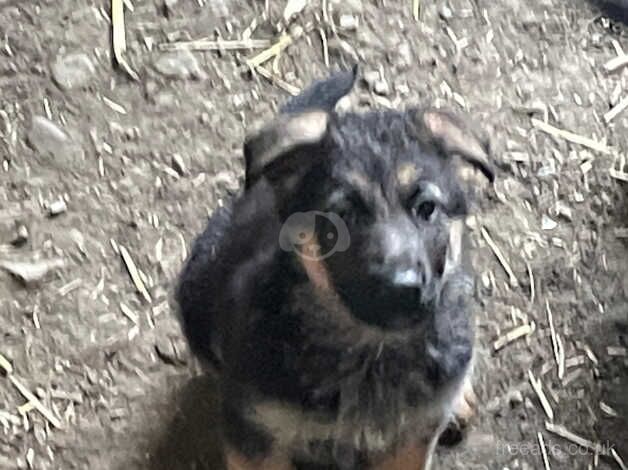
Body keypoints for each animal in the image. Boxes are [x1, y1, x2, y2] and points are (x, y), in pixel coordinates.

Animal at [174, 67, 494, 470]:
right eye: (342, 213)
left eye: (426, 208)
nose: (402, 289)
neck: (371, 351)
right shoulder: (255, 434)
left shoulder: (411, 440)